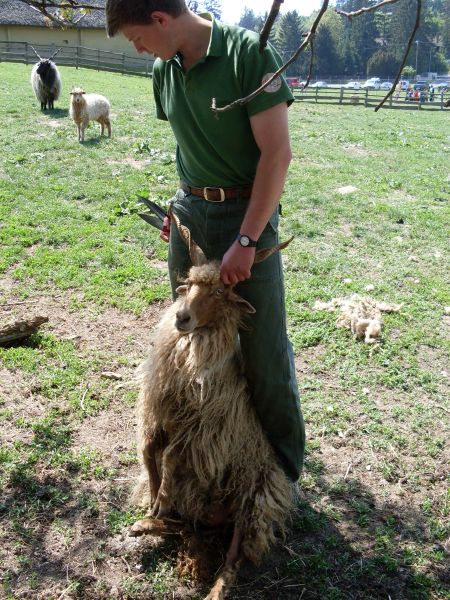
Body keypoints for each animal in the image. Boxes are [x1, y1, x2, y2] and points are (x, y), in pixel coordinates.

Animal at [130, 214, 294, 600]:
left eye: (220, 292)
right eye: (188, 283)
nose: (182, 318)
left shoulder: (201, 431)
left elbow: (171, 457)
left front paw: (160, 495)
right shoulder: (159, 412)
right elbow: (148, 451)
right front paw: (153, 494)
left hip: (251, 503)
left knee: (232, 562)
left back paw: (213, 589)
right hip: (204, 512)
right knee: (184, 527)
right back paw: (146, 524)